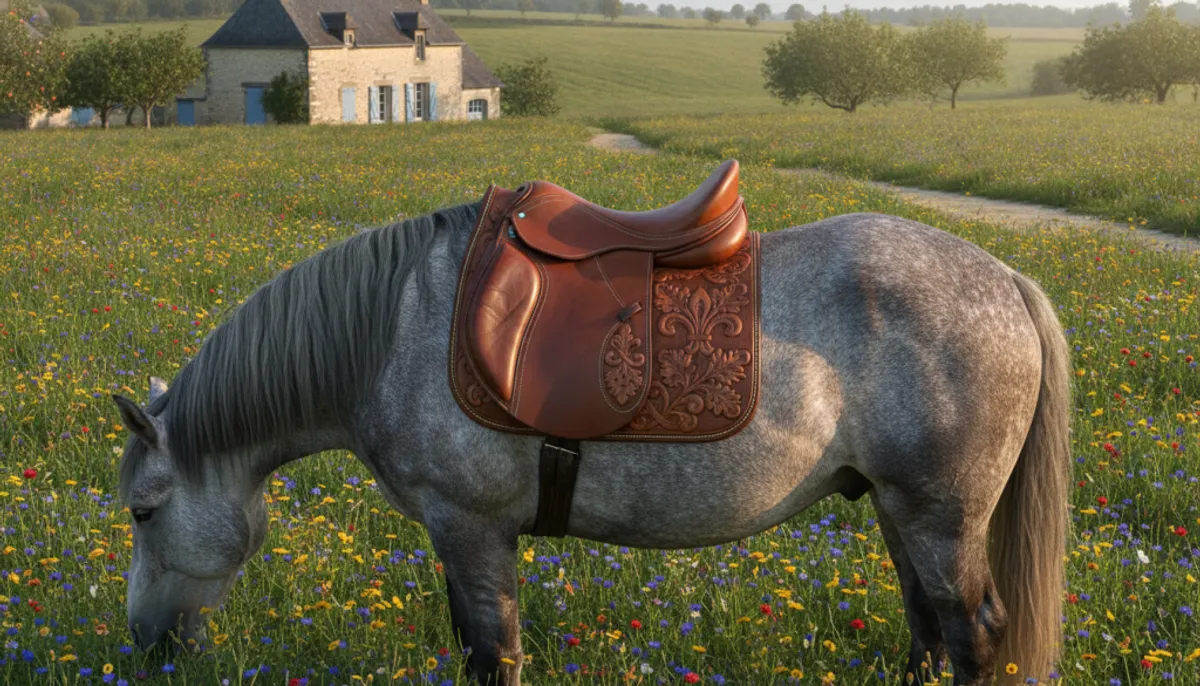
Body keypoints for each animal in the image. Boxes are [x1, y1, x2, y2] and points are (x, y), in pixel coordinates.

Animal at [112, 205, 1070, 686]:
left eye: (144, 511)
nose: (146, 645)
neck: (394, 330)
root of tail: (1006, 281)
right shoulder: (463, 538)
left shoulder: (469, 529)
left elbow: (491, 652)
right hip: (900, 513)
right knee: (928, 630)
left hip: (941, 517)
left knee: (971, 634)